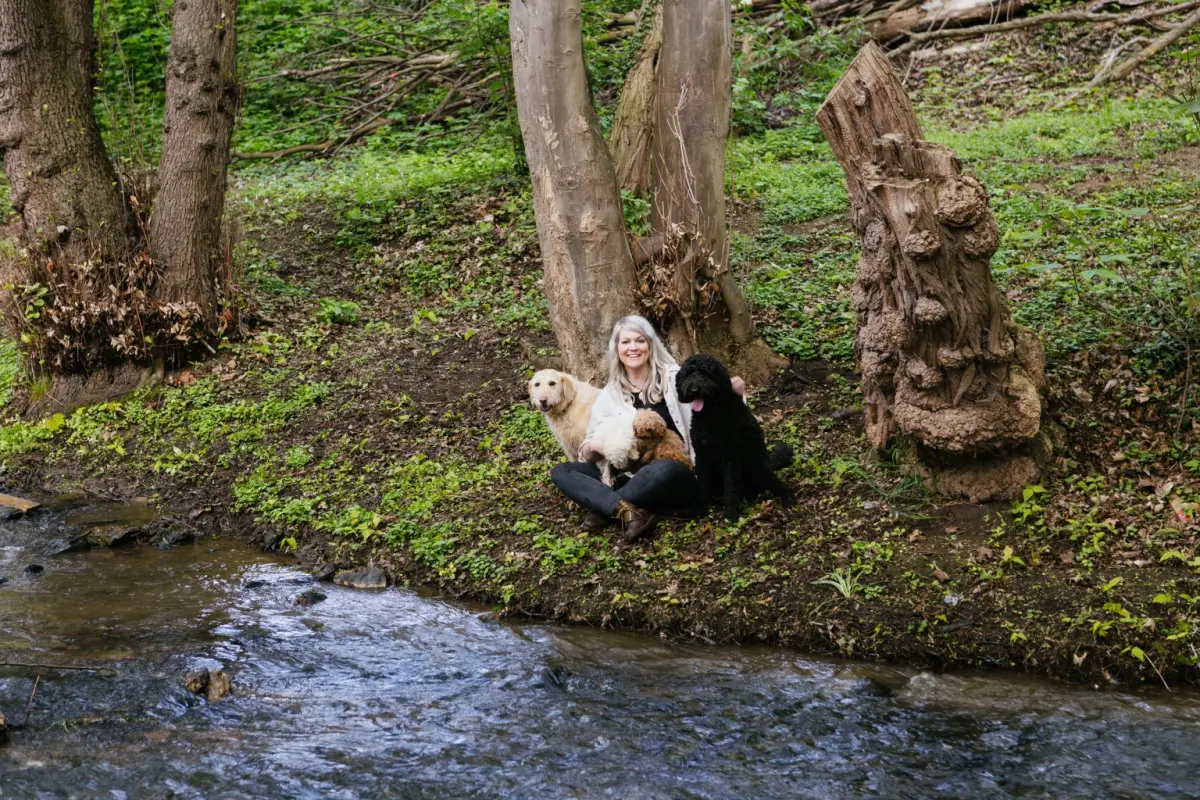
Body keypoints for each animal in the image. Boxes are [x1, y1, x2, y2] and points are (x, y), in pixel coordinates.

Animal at [676, 355, 796, 520]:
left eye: (707, 374)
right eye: (688, 373)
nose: (694, 389)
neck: (710, 413)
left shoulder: (730, 455)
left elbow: (731, 486)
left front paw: (731, 513)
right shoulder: (702, 456)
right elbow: (702, 485)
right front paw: (700, 510)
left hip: (757, 464)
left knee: (773, 482)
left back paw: (787, 496)